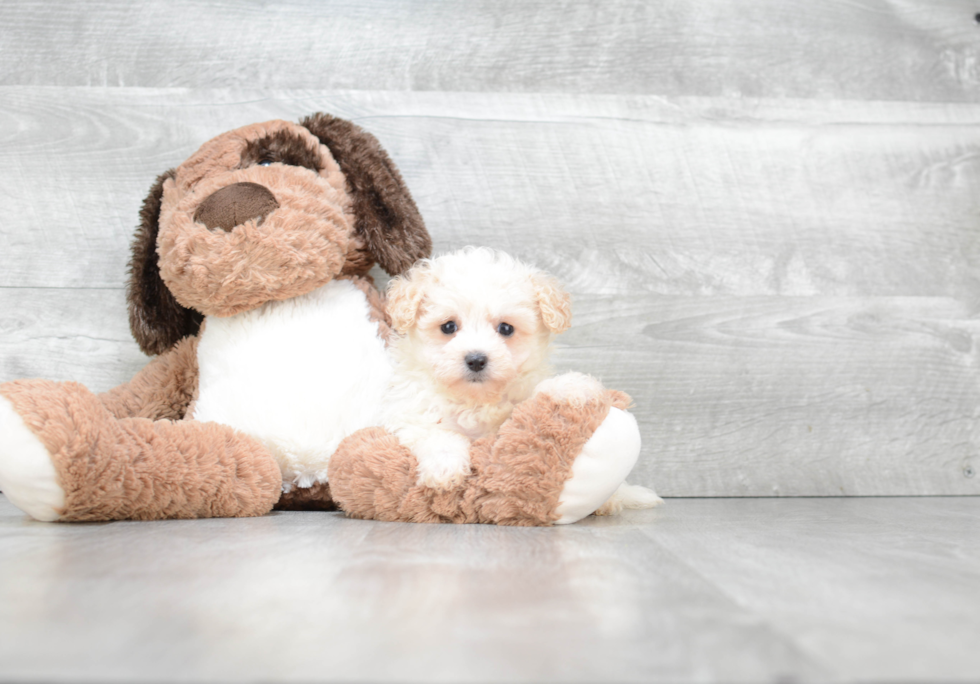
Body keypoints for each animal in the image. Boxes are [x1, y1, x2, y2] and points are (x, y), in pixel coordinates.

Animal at [382, 246, 668, 512]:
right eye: (448, 327)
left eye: (506, 328)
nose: (476, 359)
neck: (477, 400)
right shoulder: (414, 416)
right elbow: (437, 435)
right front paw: (444, 469)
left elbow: (538, 394)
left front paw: (573, 386)